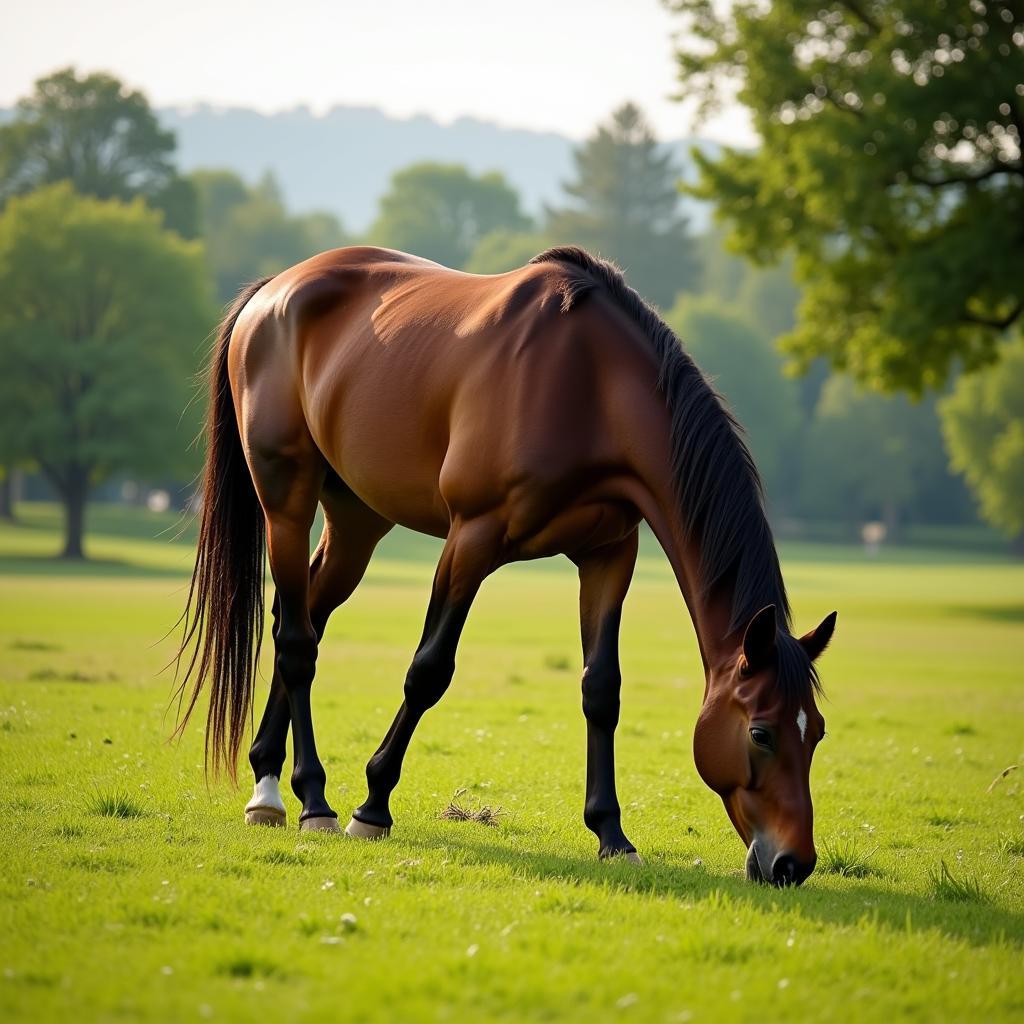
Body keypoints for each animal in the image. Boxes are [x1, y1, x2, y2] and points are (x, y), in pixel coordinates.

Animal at [174, 243, 831, 884]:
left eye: (818, 731)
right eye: (761, 732)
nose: (792, 863)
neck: (591, 385)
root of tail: (274, 291)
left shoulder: (608, 557)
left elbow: (602, 689)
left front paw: (612, 835)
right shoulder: (473, 538)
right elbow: (428, 671)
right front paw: (373, 804)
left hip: (356, 521)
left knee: (307, 615)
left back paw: (269, 781)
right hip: (285, 501)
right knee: (296, 641)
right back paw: (308, 800)